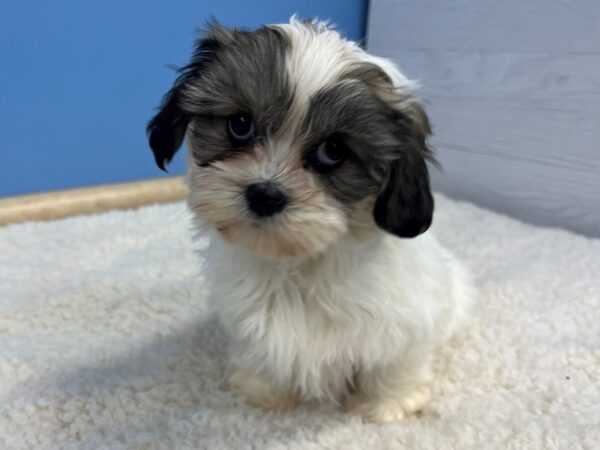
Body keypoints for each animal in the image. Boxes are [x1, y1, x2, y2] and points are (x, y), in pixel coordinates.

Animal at [145, 17, 474, 424]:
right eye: (240, 124)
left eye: (333, 151)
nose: (265, 194)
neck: (299, 267)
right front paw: (263, 390)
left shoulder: (406, 320)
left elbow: (395, 362)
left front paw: (387, 403)